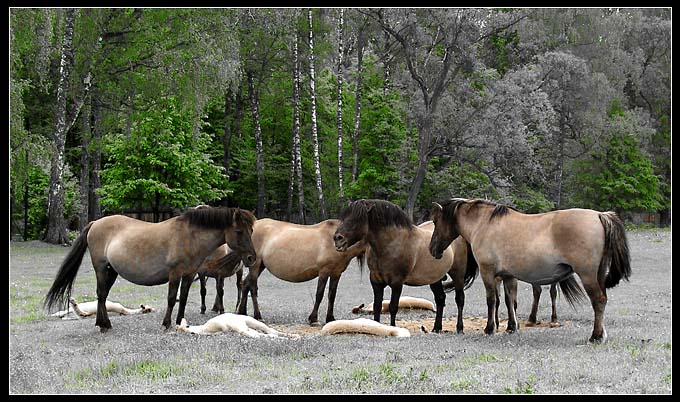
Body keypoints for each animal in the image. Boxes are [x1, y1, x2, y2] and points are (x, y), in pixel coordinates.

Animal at [44, 206, 258, 332]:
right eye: (239, 231)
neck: (189, 236)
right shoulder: (175, 274)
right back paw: (104, 325)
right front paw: (166, 324)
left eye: (251, 231)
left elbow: (183, 298)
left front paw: (180, 322)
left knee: (103, 296)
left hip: (112, 270)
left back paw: (103, 324)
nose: (251, 258)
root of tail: (96, 223)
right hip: (101, 268)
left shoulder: (189, 275)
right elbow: (172, 298)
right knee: (101, 294)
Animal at [238, 218, 370, 326]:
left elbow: (332, 295)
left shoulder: (336, 273)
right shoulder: (324, 272)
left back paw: (242, 312)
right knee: (253, 288)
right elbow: (319, 295)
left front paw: (330, 318)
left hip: (261, 266)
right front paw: (314, 319)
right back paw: (258, 316)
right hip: (255, 265)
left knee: (245, 284)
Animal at [332, 199, 476, 332]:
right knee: (440, 299)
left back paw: (459, 328)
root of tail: (460, 236)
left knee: (460, 299)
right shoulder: (376, 281)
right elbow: (377, 306)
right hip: (435, 279)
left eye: (356, 219)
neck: (391, 243)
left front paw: (393, 327)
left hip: (457, 274)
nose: (337, 238)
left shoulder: (397, 283)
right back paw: (436, 328)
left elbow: (393, 307)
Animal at [430, 198, 632, 342]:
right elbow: (509, 300)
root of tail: (599, 215)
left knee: (598, 300)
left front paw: (489, 328)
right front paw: (511, 327)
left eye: (436, 222)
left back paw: (595, 336)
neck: (485, 223)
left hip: (588, 276)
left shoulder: (488, 273)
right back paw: (601, 333)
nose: (432, 249)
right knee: (602, 301)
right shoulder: (508, 276)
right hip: (598, 275)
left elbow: (492, 301)